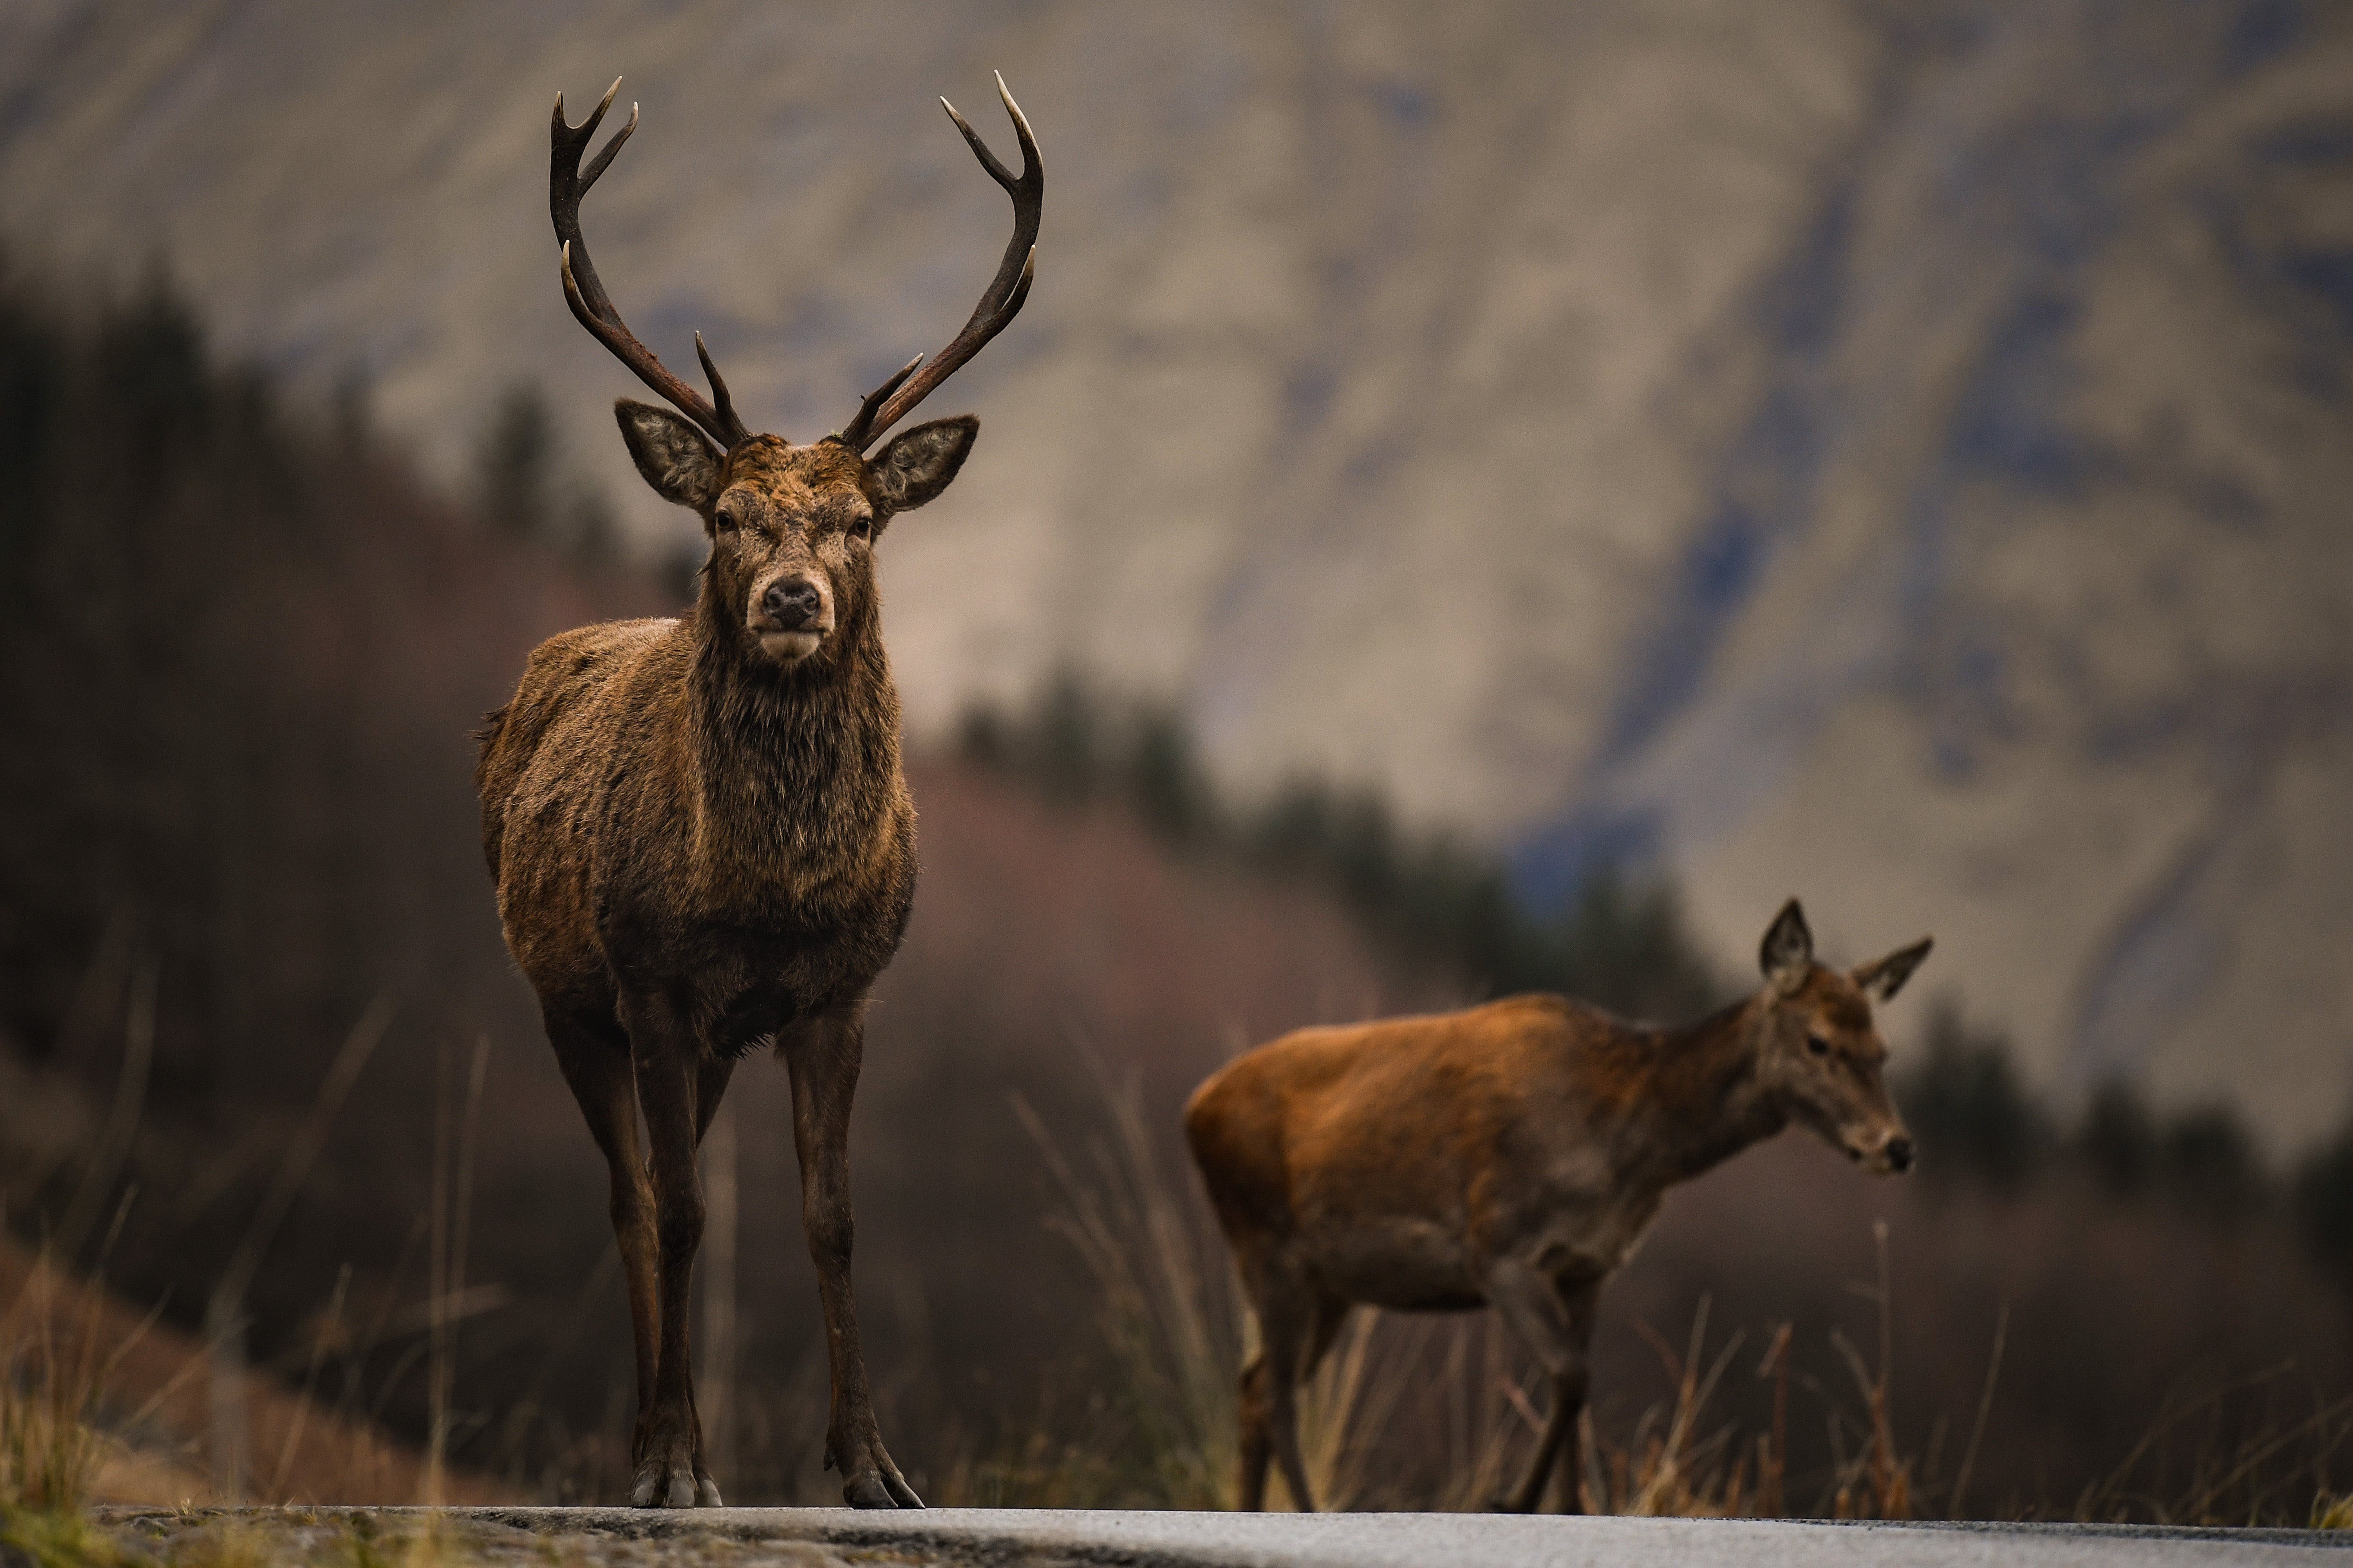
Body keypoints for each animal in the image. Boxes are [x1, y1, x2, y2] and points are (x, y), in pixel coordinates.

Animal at [477, 80, 1040, 1514]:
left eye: (860, 520)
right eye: (727, 515)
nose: (792, 598)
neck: (770, 890)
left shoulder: (837, 995)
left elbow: (830, 1217)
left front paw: (875, 1465)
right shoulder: (657, 984)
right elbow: (681, 1212)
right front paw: (679, 1464)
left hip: (715, 1038)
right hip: (570, 996)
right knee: (633, 1200)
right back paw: (648, 1447)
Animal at [1186, 902, 1920, 1514]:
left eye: (1882, 1049)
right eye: (1818, 1040)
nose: (1897, 1144)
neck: (1622, 1147)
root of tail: (1195, 1109)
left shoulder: (1590, 1265)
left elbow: (1580, 1387)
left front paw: (1570, 1508)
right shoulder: (1499, 1247)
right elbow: (1569, 1374)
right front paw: (1512, 1500)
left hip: (1332, 1283)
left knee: (1254, 1385)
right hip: (1265, 1245)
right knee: (1275, 1395)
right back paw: (1308, 1509)